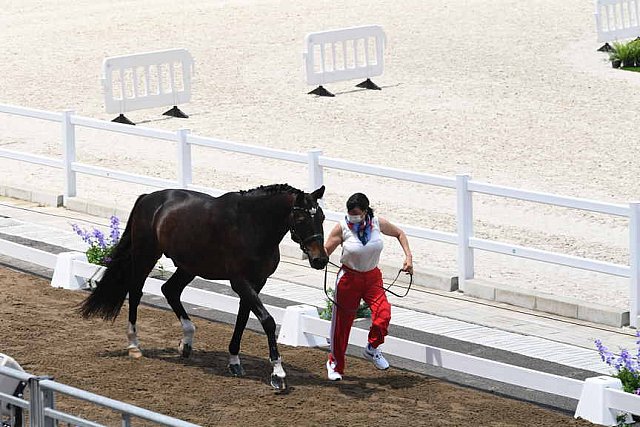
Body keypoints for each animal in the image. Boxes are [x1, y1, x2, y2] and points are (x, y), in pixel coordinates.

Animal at [79, 184, 328, 392]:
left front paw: (234, 362)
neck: (251, 225)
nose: (320, 260)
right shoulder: (240, 281)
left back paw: (187, 342)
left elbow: (242, 319)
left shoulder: (256, 283)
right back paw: (134, 345)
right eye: (300, 217)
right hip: (145, 256)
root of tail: (149, 197)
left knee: (170, 290)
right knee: (136, 292)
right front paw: (278, 374)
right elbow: (267, 321)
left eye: (322, 217)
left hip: (188, 266)